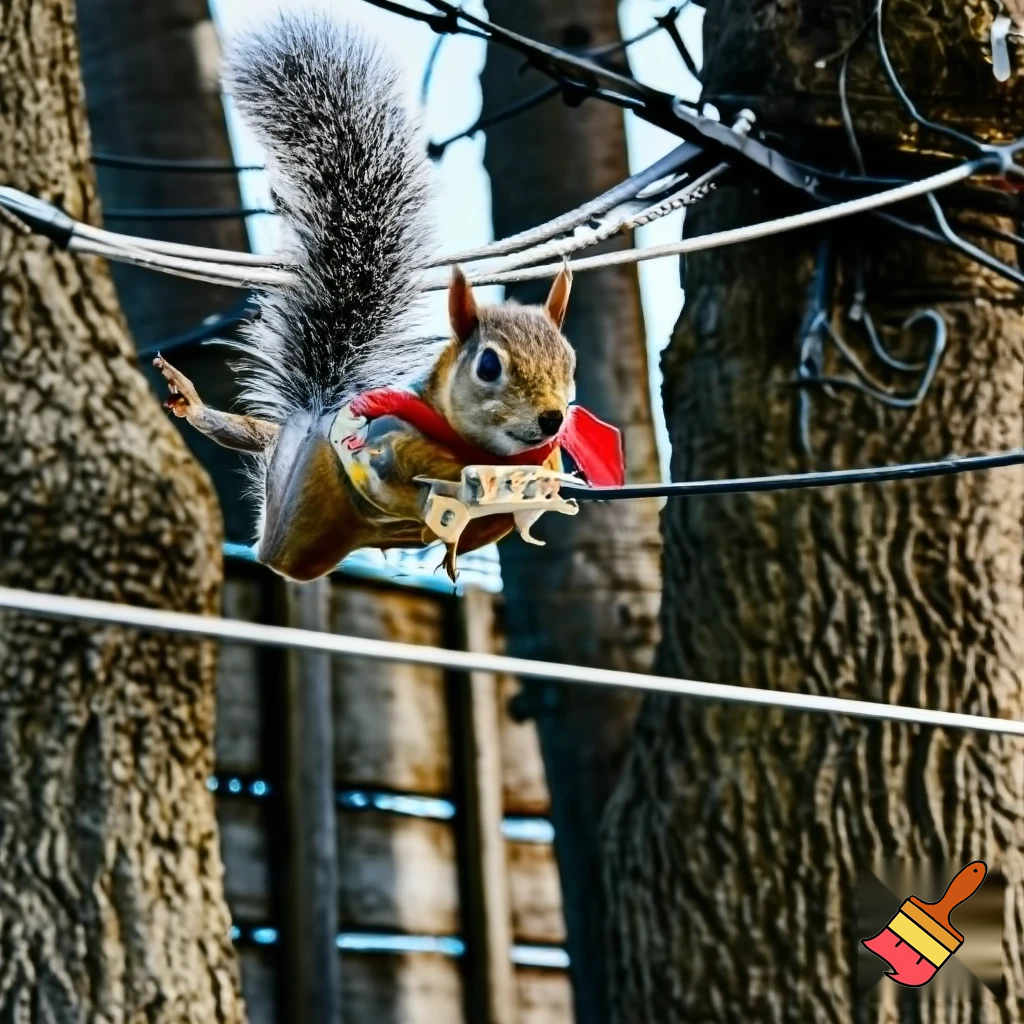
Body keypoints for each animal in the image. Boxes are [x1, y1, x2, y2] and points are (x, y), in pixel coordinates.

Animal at [154, 13, 624, 584]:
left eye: (569, 361)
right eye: (488, 366)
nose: (552, 420)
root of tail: (312, 417)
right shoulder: (393, 444)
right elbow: (403, 478)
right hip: (296, 495)